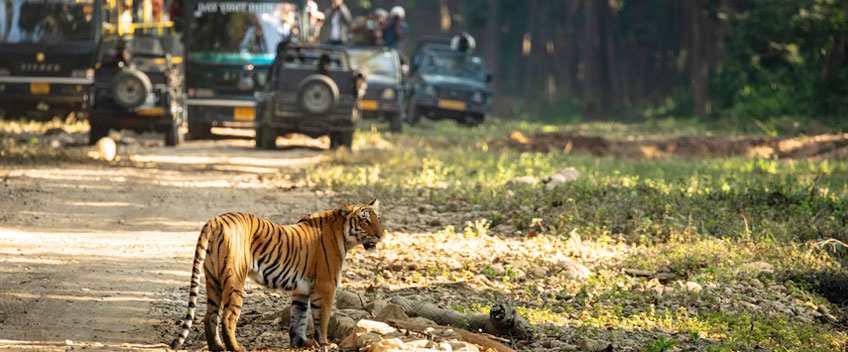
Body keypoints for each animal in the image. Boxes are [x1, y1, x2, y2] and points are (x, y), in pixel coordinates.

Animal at [169, 199, 380, 350]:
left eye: (378, 219)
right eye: (365, 220)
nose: (380, 234)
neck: (343, 235)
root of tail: (214, 221)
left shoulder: (301, 290)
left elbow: (299, 317)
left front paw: (300, 343)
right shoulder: (325, 285)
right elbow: (322, 318)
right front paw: (325, 344)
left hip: (212, 279)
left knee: (209, 316)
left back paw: (217, 347)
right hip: (234, 280)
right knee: (228, 317)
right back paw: (236, 348)